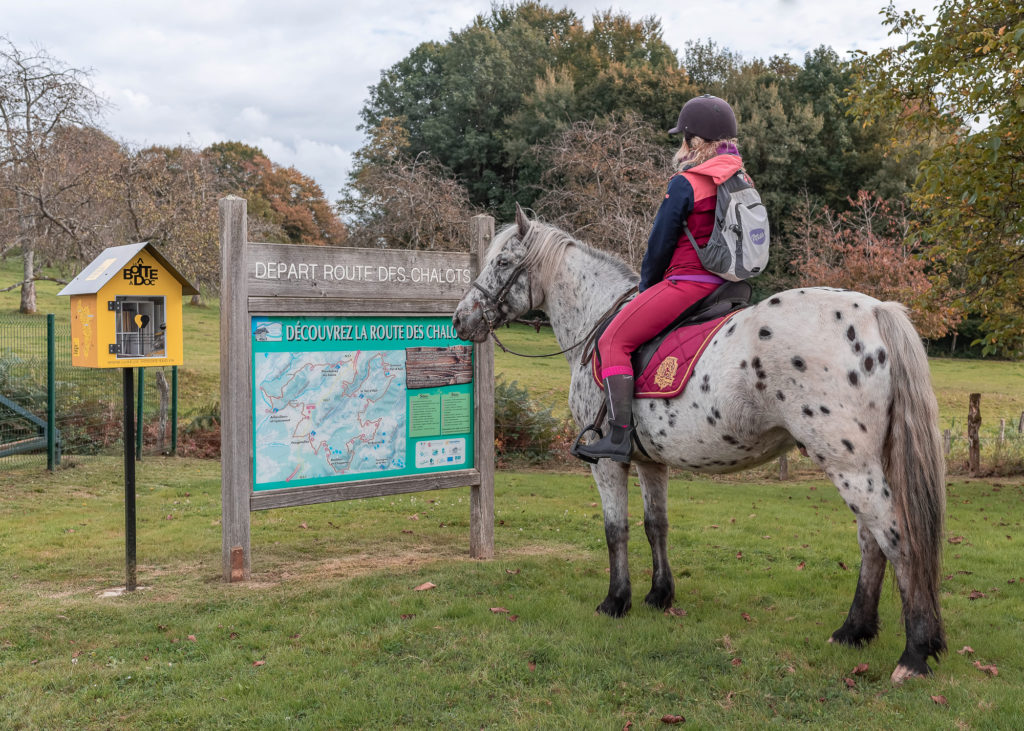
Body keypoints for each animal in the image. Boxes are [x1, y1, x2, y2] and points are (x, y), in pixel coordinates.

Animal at [452, 201, 946, 679]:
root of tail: (875, 309)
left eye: (502, 262)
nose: (461, 318)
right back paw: (853, 631)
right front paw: (659, 595)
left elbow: (616, 529)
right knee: (871, 541)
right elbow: (656, 525)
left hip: (849, 466)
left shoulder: (608, 462)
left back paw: (914, 654)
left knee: (896, 540)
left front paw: (616, 601)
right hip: (861, 464)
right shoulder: (651, 461)